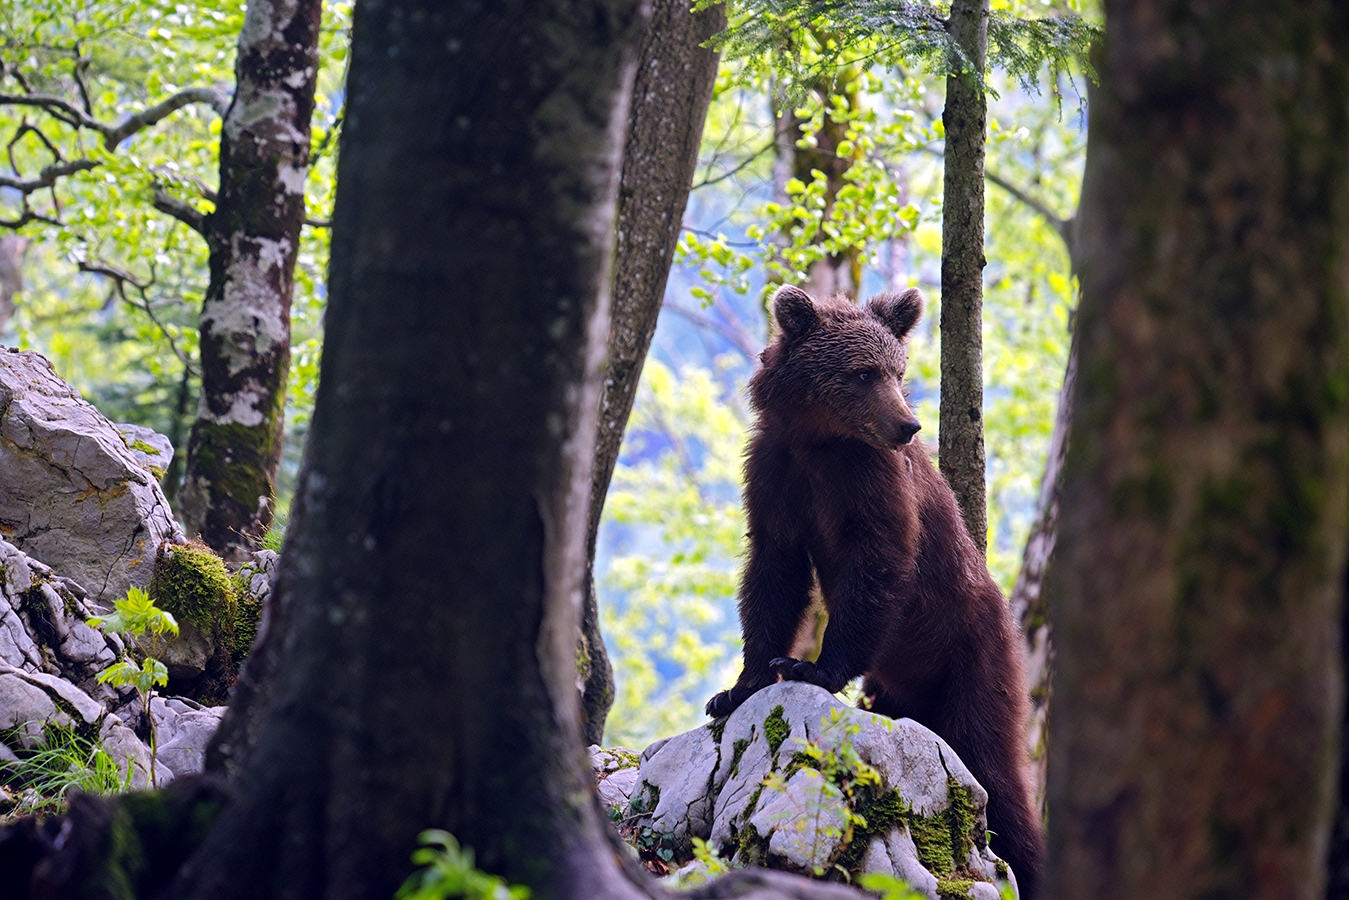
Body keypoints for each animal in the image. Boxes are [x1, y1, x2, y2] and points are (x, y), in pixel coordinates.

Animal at [706, 284, 1044, 898]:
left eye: (897, 369)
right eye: (863, 373)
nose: (908, 425)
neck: (821, 442)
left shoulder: (874, 484)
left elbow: (879, 563)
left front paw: (812, 667)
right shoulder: (775, 476)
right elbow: (773, 574)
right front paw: (739, 686)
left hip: (974, 657)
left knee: (991, 766)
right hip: (893, 688)